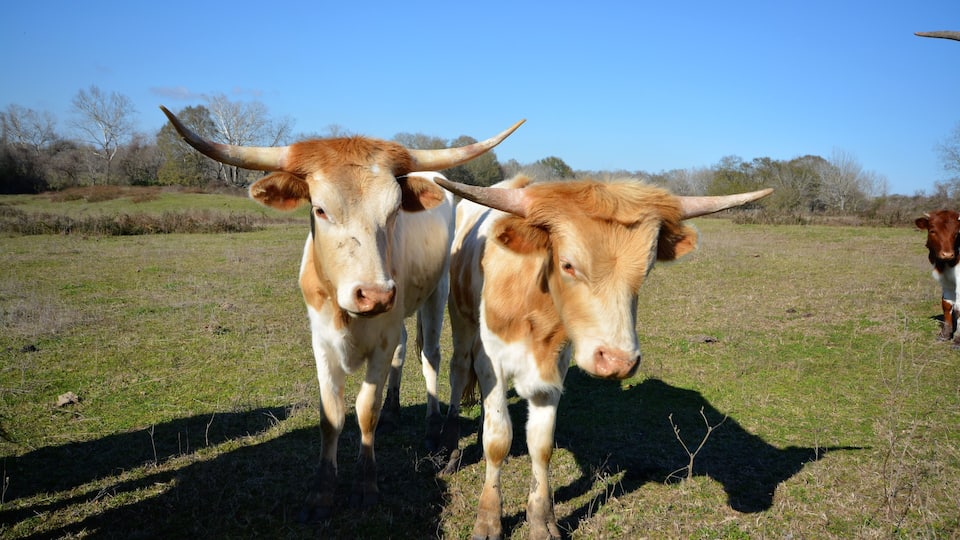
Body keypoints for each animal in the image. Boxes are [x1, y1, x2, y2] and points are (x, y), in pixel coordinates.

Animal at [159, 106, 523, 521]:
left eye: (394, 211)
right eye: (319, 209)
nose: (375, 294)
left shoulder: (381, 340)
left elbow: (366, 409)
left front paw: (366, 484)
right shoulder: (322, 341)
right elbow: (331, 414)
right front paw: (322, 491)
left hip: (437, 291)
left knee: (430, 355)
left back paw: (432, 429)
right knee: (404, 351)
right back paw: (395, 411)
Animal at [435, 175, 772, 539]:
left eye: (646, 269)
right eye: (568, 264)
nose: (618, 361)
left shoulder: (554, 370)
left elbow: (541, 444)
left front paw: (542, 520)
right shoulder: (492, 364)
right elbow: (497, 441)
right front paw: (488, 520)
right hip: (461, 319)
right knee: (458, 369)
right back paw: (450, 447)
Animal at [916, 210, 960, 344]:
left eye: (957, 232)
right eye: (932, 231)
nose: (947, 254)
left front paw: (958, 339)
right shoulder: (946, 282)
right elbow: (946, 304)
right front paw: (945, 334)